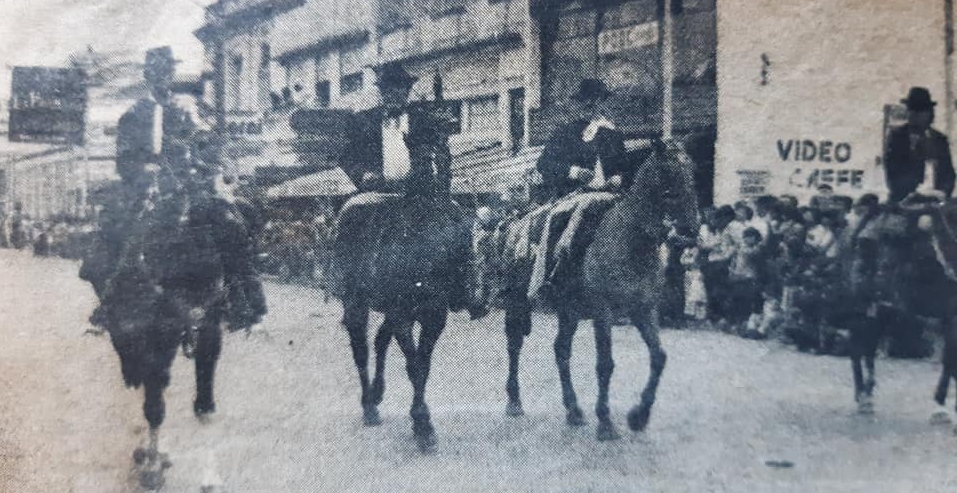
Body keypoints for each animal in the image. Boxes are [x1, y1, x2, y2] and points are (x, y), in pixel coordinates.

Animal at [496, 140, 700, 440]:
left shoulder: (644, 310)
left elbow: (659, 357)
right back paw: (514, 402)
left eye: (692, 171)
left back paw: (573, 410)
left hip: (569, 311)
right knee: (514, 345)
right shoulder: (603, 314)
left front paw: (639, 416)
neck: (630, 242)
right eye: (668, 174)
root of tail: (516, 223)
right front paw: (605, 422)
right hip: (516, 302)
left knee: (561, 349)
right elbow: (605, 364)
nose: (690, 231)